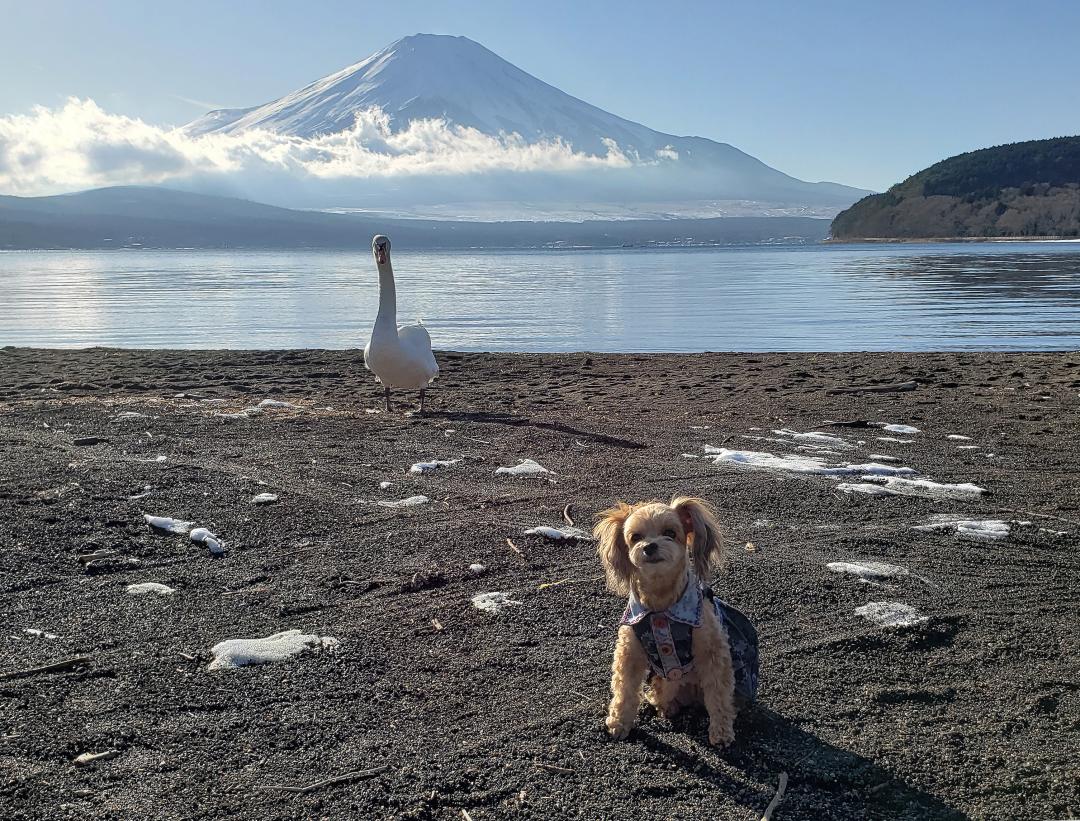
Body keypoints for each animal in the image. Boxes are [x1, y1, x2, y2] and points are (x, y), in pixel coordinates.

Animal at [591, 496, 760, 747]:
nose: (650, 546)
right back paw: (664, 705)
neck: (661, 603)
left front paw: (721, 733)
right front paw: (619, 724)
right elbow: (624, 689)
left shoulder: (713, 651)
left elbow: (719, 694)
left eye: (670, 532)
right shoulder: (629, 650)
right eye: (635, 537)